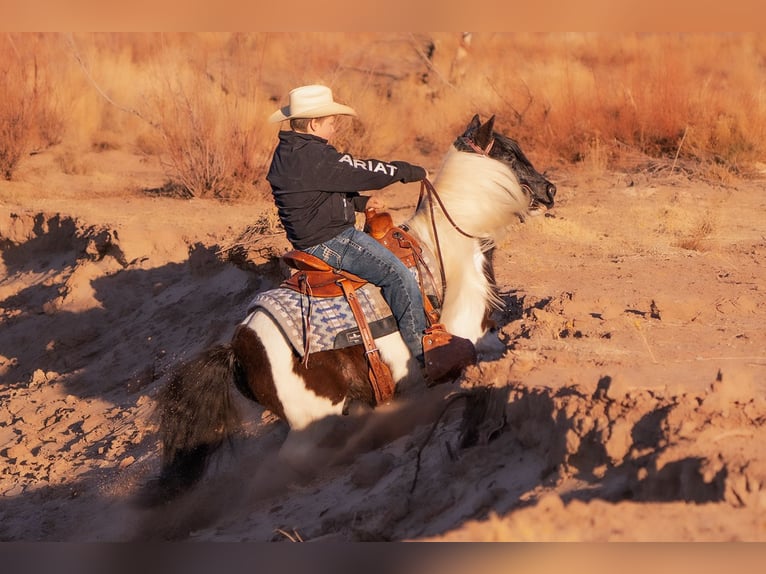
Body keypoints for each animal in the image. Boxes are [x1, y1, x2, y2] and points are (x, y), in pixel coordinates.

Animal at [150, 115, 560, 502]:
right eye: (509, 152)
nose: (550, 190)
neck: (448, 245)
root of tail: (239, 345)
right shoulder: (471, 335)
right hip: (311, 424)